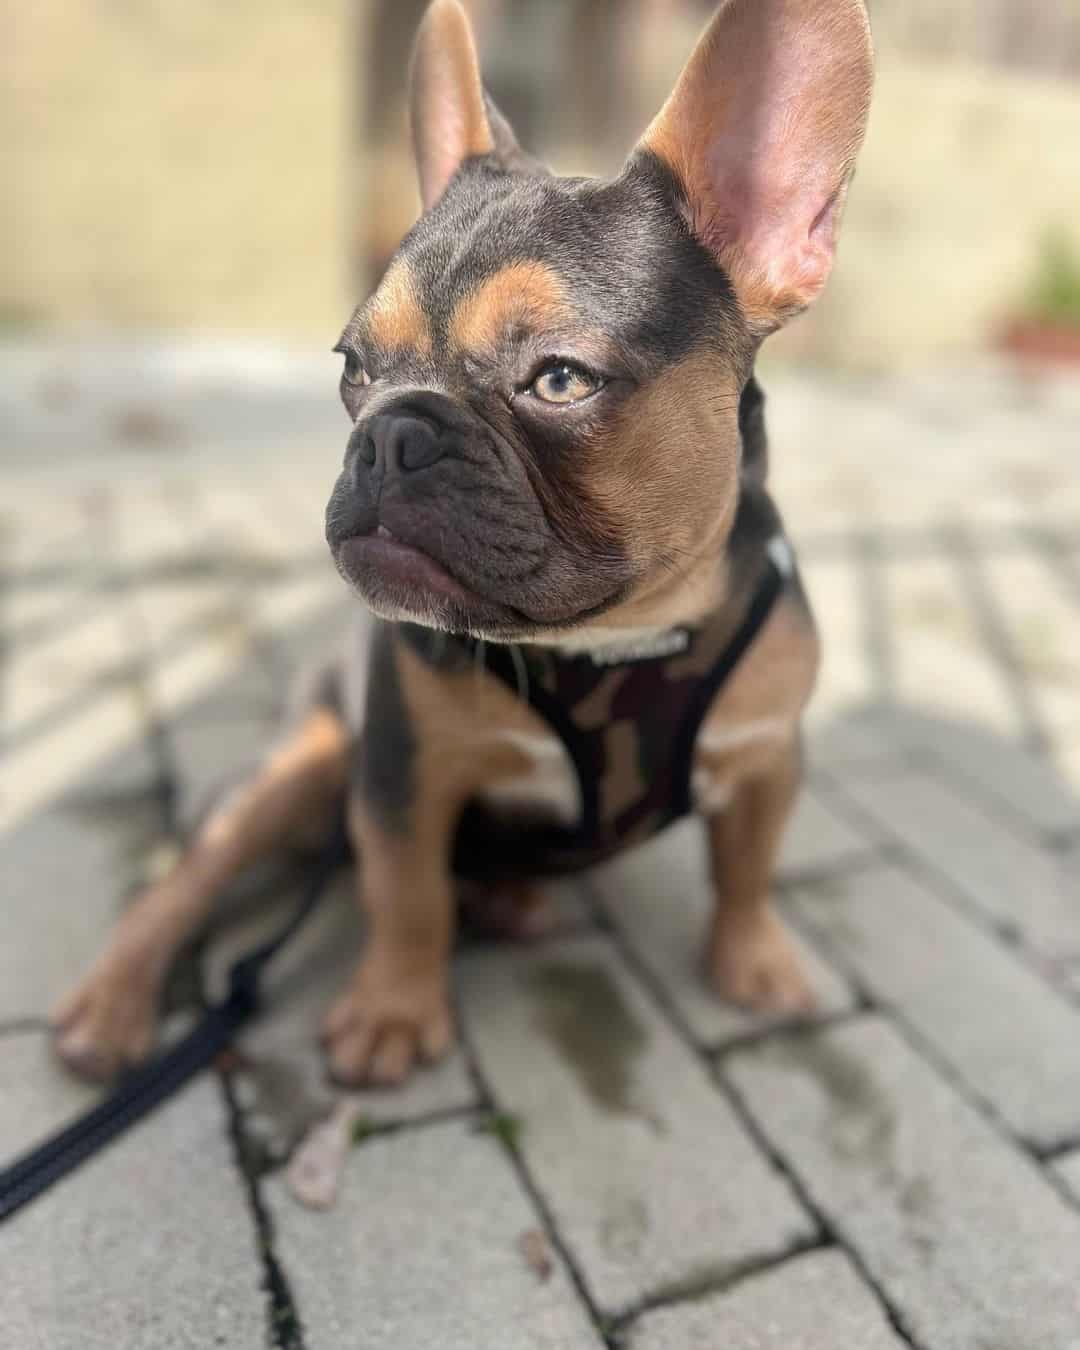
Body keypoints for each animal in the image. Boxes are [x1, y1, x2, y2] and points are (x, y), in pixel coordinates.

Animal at [54, 0, 874, 1085]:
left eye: (560, 378)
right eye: (354, 367)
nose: (388, 434)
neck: (612, 642)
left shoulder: (770, 752)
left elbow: (748, 865)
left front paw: (754, 958)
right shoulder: (404, 772)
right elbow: (406, 895)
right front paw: (394, 1008)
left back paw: (508, 898)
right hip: (299, 765)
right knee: (187, 882)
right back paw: (112, 1003)